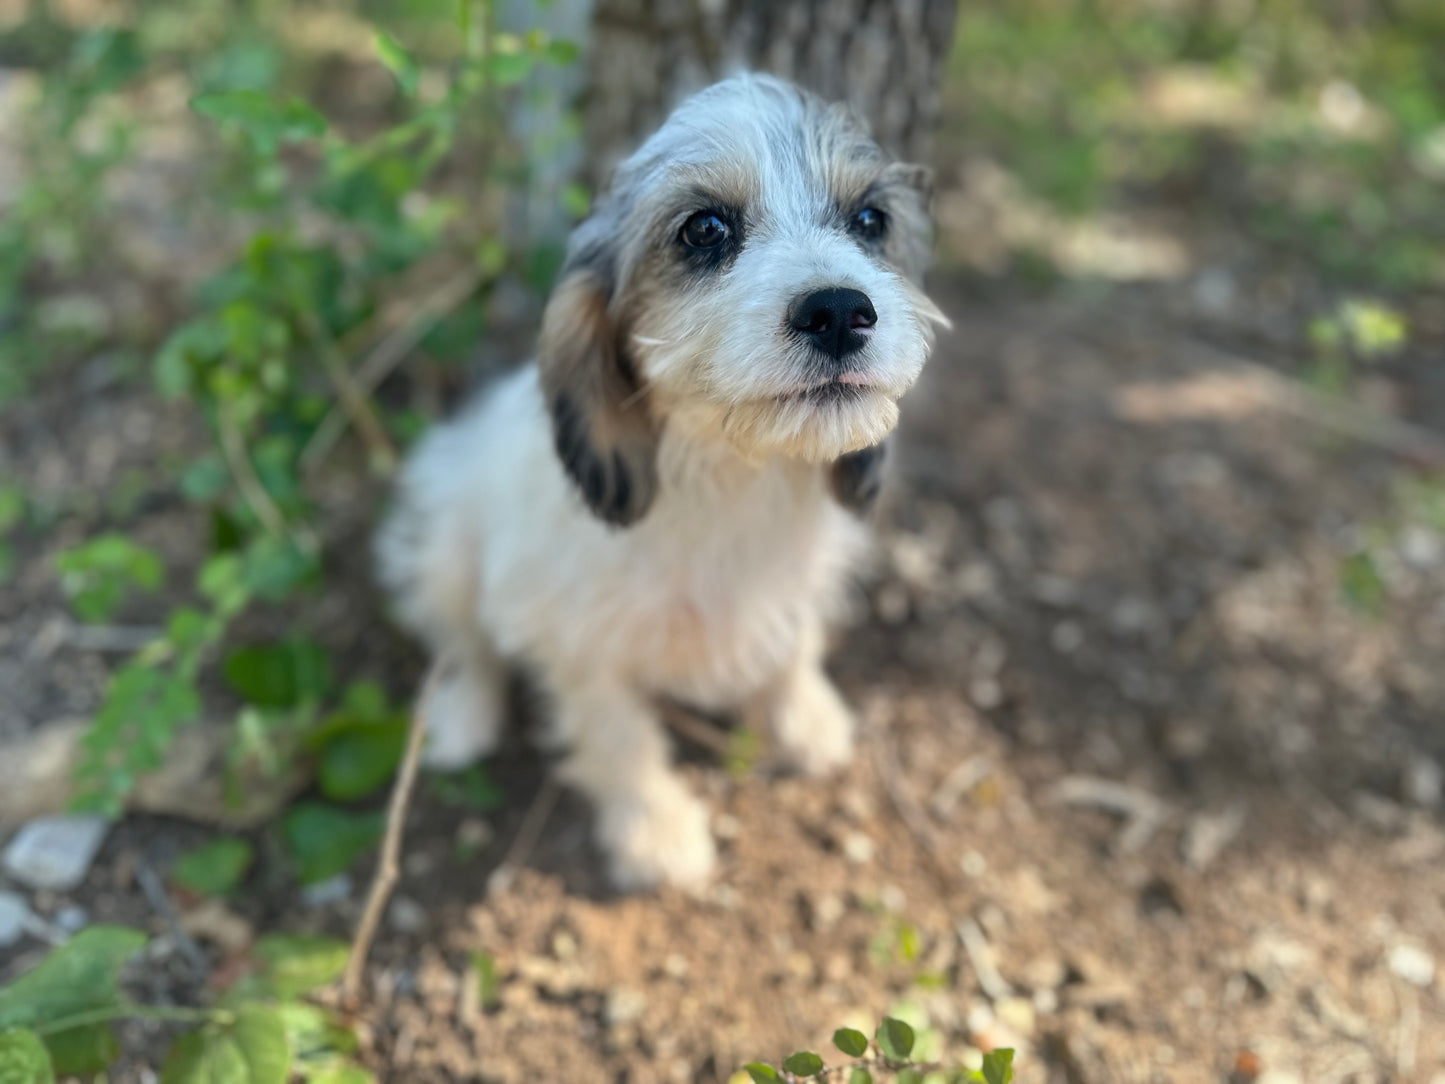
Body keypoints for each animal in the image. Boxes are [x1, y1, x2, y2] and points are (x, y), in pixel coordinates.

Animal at [375, 74, 947, 890]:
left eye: (871, 220)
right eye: (704, 229)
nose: (839, 311)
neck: (726, 476)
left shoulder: (801, 583)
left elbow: (794, 646)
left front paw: (806, 720)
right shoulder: (577, 641)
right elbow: (617, 737)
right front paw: (656, 832)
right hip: (443, 552)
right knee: (465, 644)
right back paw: (461, 716)